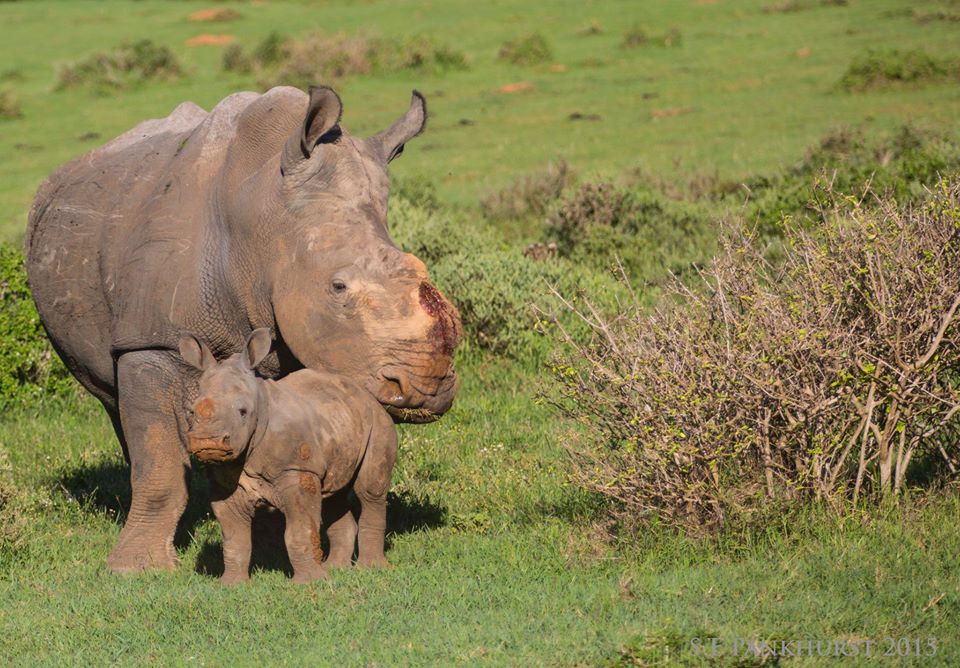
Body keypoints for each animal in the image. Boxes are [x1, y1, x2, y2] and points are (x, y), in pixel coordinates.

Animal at [178, 328, 396, 584]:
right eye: (192, 412)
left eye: (242, 412)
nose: (207, 441)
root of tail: (367, 395)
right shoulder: (224, 482)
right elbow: (234, 537)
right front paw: (230, 584)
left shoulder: (297, 470)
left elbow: (300, 530)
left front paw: (310, 582)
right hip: (340, 421)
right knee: (333, 493)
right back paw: (336, 569)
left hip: (379, 422)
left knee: (369, 491)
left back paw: (370, 569)